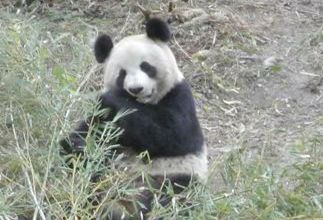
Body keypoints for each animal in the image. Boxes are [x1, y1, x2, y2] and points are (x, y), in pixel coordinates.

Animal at [60, 18, 208, 219]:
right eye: (122, 73)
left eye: (146, 66)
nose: (136, 89)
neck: (144, 104)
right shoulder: (103, 119)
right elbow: (89, 131)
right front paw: (76, 144)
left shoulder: (178, 96)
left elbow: (171, 135)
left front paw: (115, 100)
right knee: (88, 180)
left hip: (174, 174)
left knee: (173, 194)